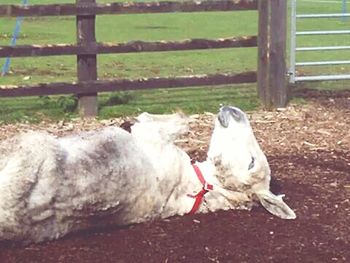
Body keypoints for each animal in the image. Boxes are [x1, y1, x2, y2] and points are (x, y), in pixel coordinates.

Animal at [0, 106, 296, 244]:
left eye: (251, 163)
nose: (232, 112)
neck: (196, 187)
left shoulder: (153, 136)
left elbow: (170, 120)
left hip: (30, 143)